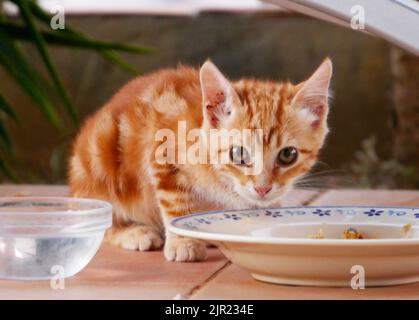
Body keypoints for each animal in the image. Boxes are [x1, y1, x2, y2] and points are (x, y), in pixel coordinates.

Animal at [69, 58, 334, 262]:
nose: (262, 188)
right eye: (238, 154)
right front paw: (184, 242)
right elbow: (175, 202)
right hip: (99, 160)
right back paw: (133, 233)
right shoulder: (160, 148)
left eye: (288, 155)